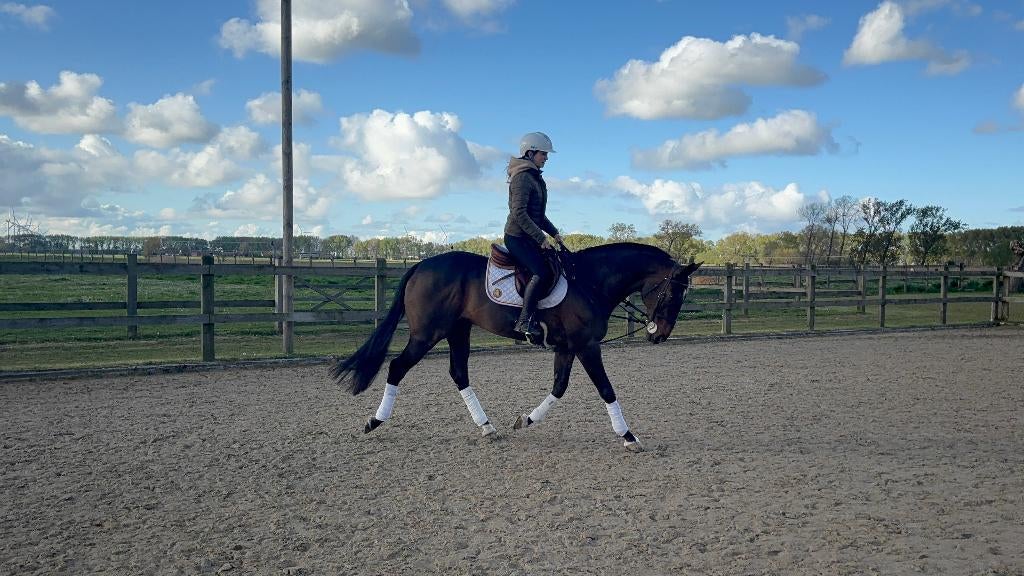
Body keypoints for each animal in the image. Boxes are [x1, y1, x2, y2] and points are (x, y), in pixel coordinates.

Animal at [330, 242, 700, 451]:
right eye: (674, 292)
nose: (659, 334)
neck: (590, 281)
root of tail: (421, 264)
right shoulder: (587, 345)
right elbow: (606, 390)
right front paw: (629, 437)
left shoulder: (567, 347)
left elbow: (559, 387)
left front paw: (525, 420)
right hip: (427, 334)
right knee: (397, 367)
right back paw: (374, 421)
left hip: (457, 330)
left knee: (459, 373)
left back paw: (487, 428)